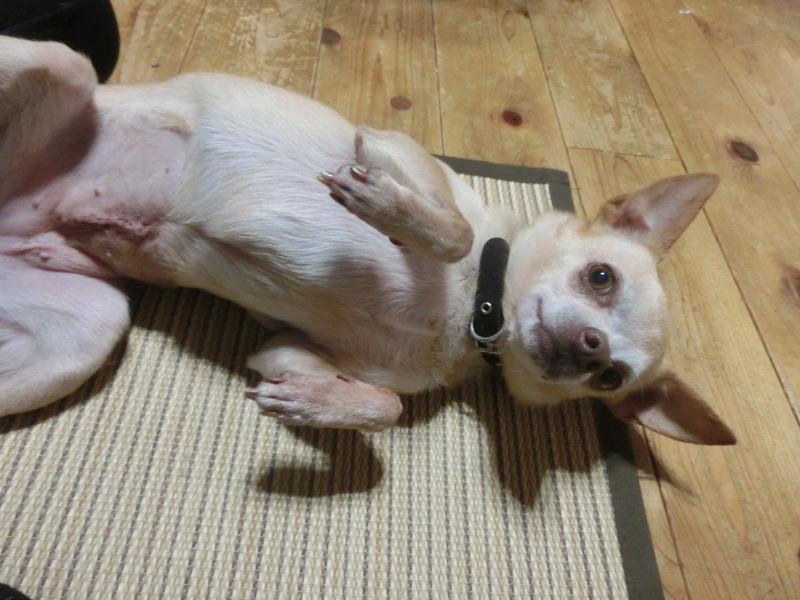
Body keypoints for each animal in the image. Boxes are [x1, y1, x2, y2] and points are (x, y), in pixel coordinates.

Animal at [0, 37, 735, 445]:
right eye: (600, 277)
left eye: (611, 378)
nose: (590, 348)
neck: (471, 313)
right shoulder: (382, 144)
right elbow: (455, 229)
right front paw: (388, 208)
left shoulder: (283, 351)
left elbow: (384, 406)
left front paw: (314, 405)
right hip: (56, 63)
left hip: (88, 332)